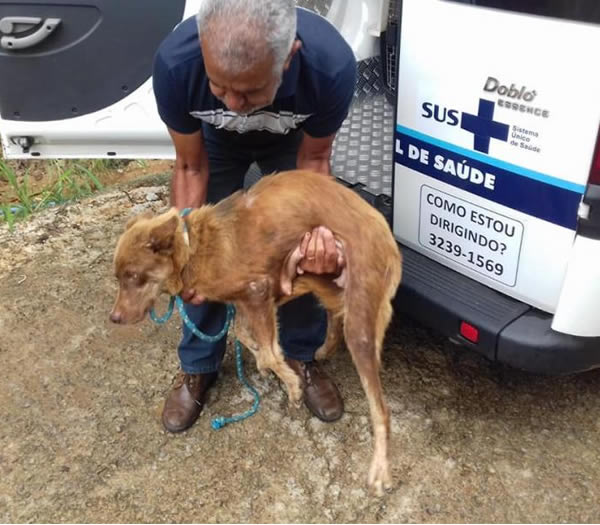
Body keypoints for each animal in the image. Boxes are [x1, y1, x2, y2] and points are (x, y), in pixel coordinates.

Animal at [110, 169, 402, 495]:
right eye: (118, 276)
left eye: (134, 276)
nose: (114, 318)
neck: (193, 249)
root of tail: (383, 228)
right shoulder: (254, 298)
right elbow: (244, 334)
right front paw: (268, 361)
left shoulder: (258, 290)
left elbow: (270, 350)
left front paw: (291, 383)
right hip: (324, 280)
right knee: (335, 315)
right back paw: (325, 348)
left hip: (359, 324)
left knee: (382, 411)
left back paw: (380, 470)